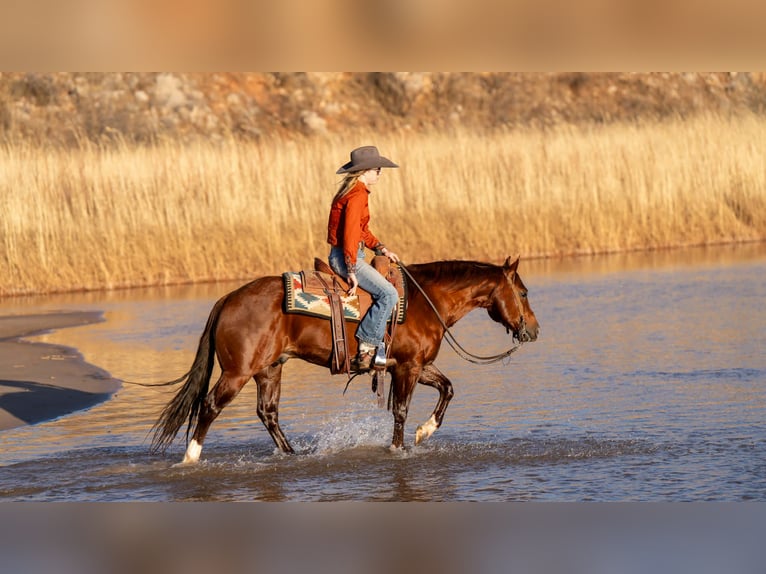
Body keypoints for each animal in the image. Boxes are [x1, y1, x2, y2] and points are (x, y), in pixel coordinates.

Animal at [150, 256, 539, 463]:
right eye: (523, 292)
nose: (533, 330)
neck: (426, 300)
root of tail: (229, 297)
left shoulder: (417, 365)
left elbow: (448, 388)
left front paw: (424, 432)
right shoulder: (409, 367)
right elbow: (400, 410)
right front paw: (398, 448)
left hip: (269, 369)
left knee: (268, 413)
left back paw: (293, 454)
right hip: (237, 372)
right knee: (210, 406)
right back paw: (191, 457)